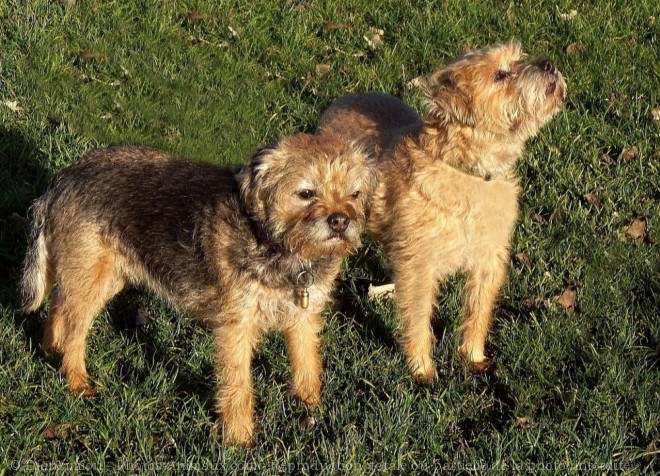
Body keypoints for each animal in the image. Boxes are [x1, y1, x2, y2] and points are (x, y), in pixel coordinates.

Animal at [19, 132, 376, 444]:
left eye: (355, 194)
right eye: (306, 193)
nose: (340, 220)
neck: (278, 246)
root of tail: (63, 178)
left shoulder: (304, 315)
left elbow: (307, 363)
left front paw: (312, 408)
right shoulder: (236, 326)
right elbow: (237, 381)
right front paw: (239, 439)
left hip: (101, 276)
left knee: (60, 305)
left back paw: (51, 350)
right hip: (92, 276)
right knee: (75, 329)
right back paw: (77, 381)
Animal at [318, 41, 564, 384]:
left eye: (519, 58)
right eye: (500, 74)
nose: (549, 65)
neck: (469, 171)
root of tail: (340, 102)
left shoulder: (489, 258)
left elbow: (479, 309)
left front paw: (473, 357)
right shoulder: (419, 266)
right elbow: (418, 315)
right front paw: (422, 369)